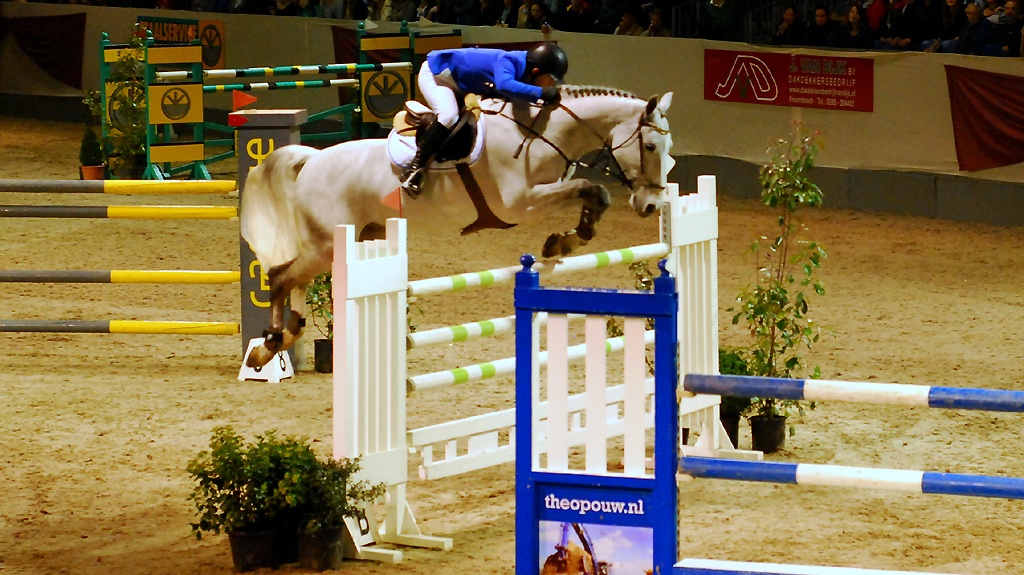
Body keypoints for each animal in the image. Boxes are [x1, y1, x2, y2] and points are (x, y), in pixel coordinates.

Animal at [238, 83, 671, 364]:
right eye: (650, 146)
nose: (652, 204)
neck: (541, 135)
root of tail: (311, 159)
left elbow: (593, 196)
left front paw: (566, 240)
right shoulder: (520, 205)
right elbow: (590, 188)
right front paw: (562, 241)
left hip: (346, 240)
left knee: (295, 281)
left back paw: (282, 337)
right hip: (327, 242)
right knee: (280, 277)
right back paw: (268, 345)